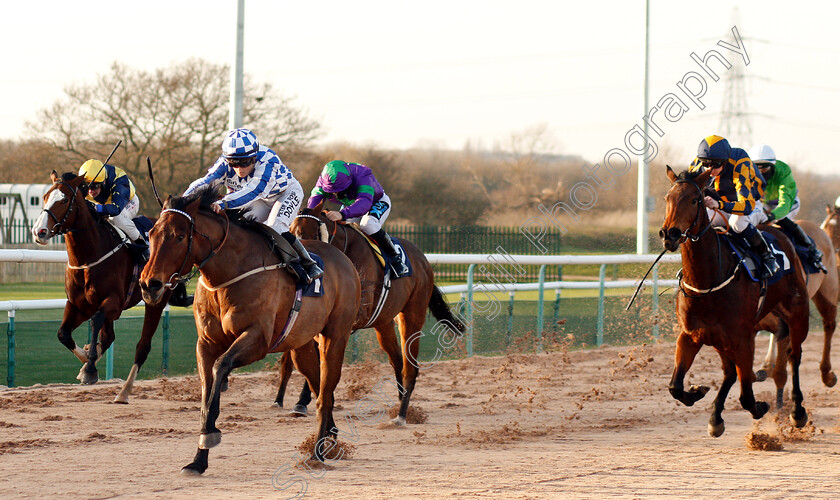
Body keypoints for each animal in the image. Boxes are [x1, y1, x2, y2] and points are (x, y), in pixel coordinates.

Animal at [30, 172, 190, 402]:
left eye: (64, 200)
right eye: (44, 197)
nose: (39, 232)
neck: (89, 257)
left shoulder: (112, 302)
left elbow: (96, 322)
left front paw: (89, 368)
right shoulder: (78, 304)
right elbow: (63, 333)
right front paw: (86, 358)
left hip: (157, 297)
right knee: (107, 337)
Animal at [139, 187, 360, 472]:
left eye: (179, 236)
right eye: (151, 233)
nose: (149, 285)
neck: (228, 275)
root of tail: (344, 260)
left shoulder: (257, 339)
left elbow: (221, 367)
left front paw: (209, 436)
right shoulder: (206, 343)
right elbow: (206, 393)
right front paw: (199, 459)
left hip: (336, 336)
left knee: (326, 395)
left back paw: (317, 454)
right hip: (301, 345)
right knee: (317, 384)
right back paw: (330, 437)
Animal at [282, 199, 466, 426]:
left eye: (311, 232)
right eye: (291, 231)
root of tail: (423, 260)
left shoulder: (349, 319)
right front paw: (302, 402)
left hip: (412, 315)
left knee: (410, 367)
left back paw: (402, 415)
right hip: (384, 322)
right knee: (397, 361)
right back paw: (401, 402)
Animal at [660, 166, 812, 436]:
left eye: (695, 200)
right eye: (668, 198)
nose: (670, 234)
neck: (707, 283)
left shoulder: (743, 338)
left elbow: (747, 396)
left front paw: (762, 406)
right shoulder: (691, 335)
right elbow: (675, 386)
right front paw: (698, 392)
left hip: (797, 314)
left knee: (794, 356)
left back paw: (797, 411)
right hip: (721, 339)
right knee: (730, 373)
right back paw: (715, 417)